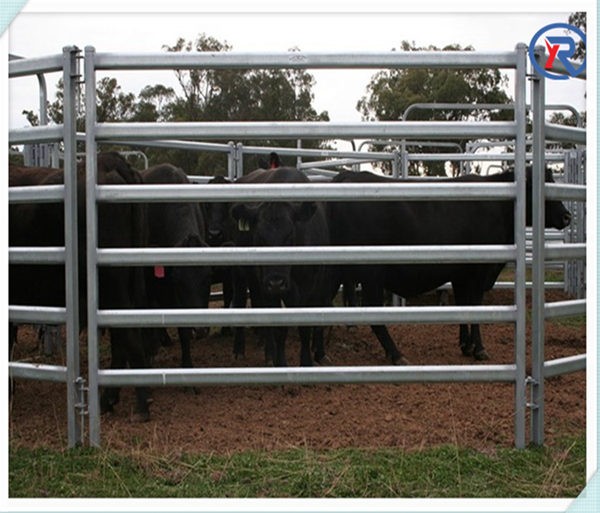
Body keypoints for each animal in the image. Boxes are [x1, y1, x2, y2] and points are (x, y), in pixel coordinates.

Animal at [231, 167, 332, 364]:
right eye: (259, 237)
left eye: (290, 235)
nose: (276, 283)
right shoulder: (270, 288)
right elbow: (278, 327)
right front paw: (280, 362)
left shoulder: (310, 288)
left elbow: (304, 327)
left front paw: (306, 362)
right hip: (243, 275)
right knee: (241, 302)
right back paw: (243, 350)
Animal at [328, 170, 572, 362]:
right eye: (544, 187)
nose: (567, 216)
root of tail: (348, 175)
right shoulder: (478, 273)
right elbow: (474, 306)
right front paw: (479, 349)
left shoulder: (460, 274)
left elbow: (463, 305)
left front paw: (466, 345)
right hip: (371, 273)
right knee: (372, 312)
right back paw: (396, 354)